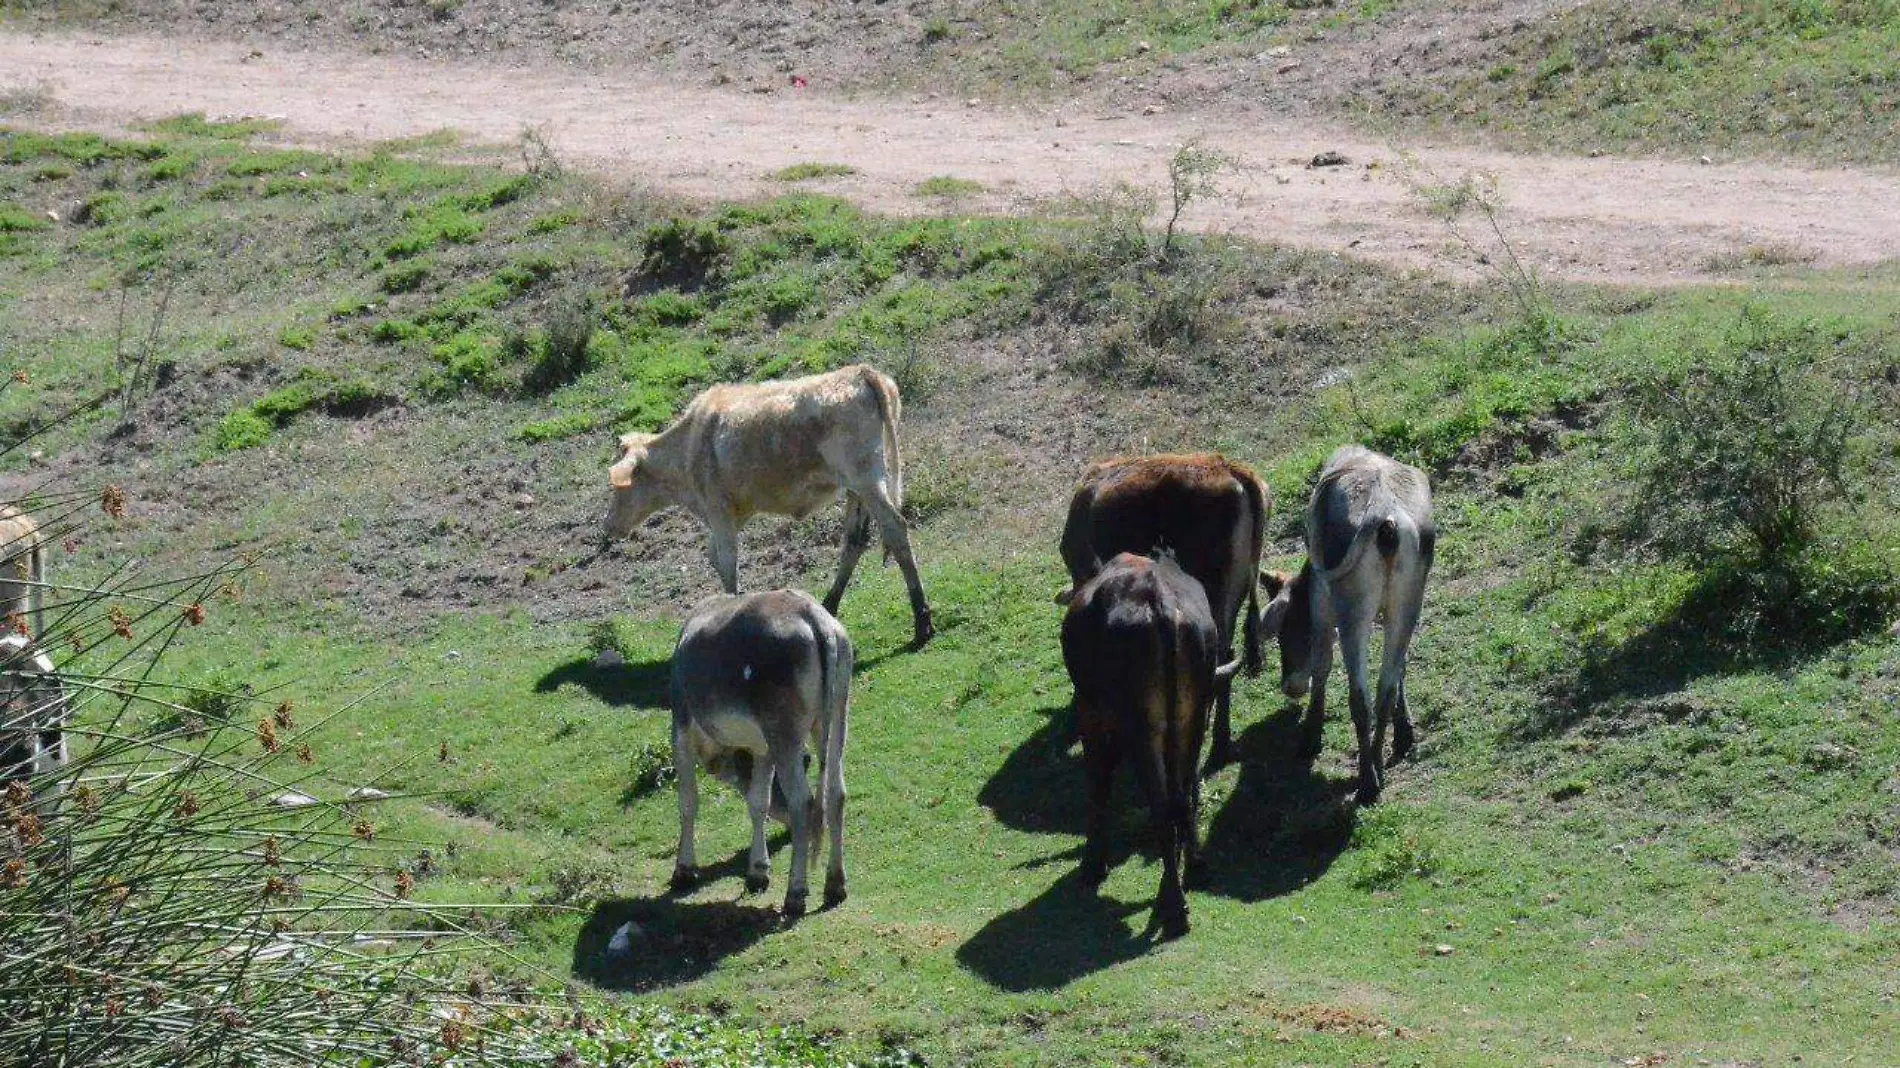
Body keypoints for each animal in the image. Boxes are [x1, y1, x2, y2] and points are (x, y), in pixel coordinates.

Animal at [600, 361, 934, 646]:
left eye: (617, 488)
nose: (607, 525)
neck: (687, 448)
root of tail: (861, 372)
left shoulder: (718, 510)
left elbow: (727, 562)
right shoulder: (729, 513)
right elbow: (715, 557)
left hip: (866, 478)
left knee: (894, 527)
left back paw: (922, 622)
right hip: (857, 487)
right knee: (855, 540)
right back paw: (829, 605)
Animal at [1064, 551, 1238, 934]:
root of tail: (1159, 600)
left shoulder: (1090, 713)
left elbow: (1097, 784)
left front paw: (1093, 863)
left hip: (1142, 731)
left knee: (1162, 805)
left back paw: (1173, 905)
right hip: (1191, 720)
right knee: (1183, 798)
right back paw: (1189, 876)